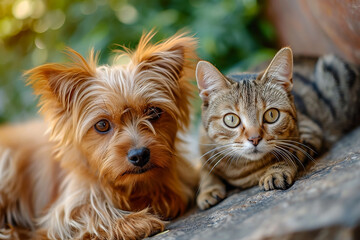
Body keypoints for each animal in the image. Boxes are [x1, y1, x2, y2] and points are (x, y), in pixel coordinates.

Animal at [0, 32, 197, 240]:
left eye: (153, 112)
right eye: (102, 125)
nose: (140, 155)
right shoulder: (69, 207)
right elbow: (88, 212)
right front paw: (135, 222)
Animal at [195, 47, 360, 209]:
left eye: (271, 115)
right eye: (231, 119)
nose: (254, 139)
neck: (242, 169)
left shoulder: (309, 130)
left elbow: (290, 153)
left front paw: (275, 172)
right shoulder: (203, 148)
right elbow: (205, 171)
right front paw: (208, 190)